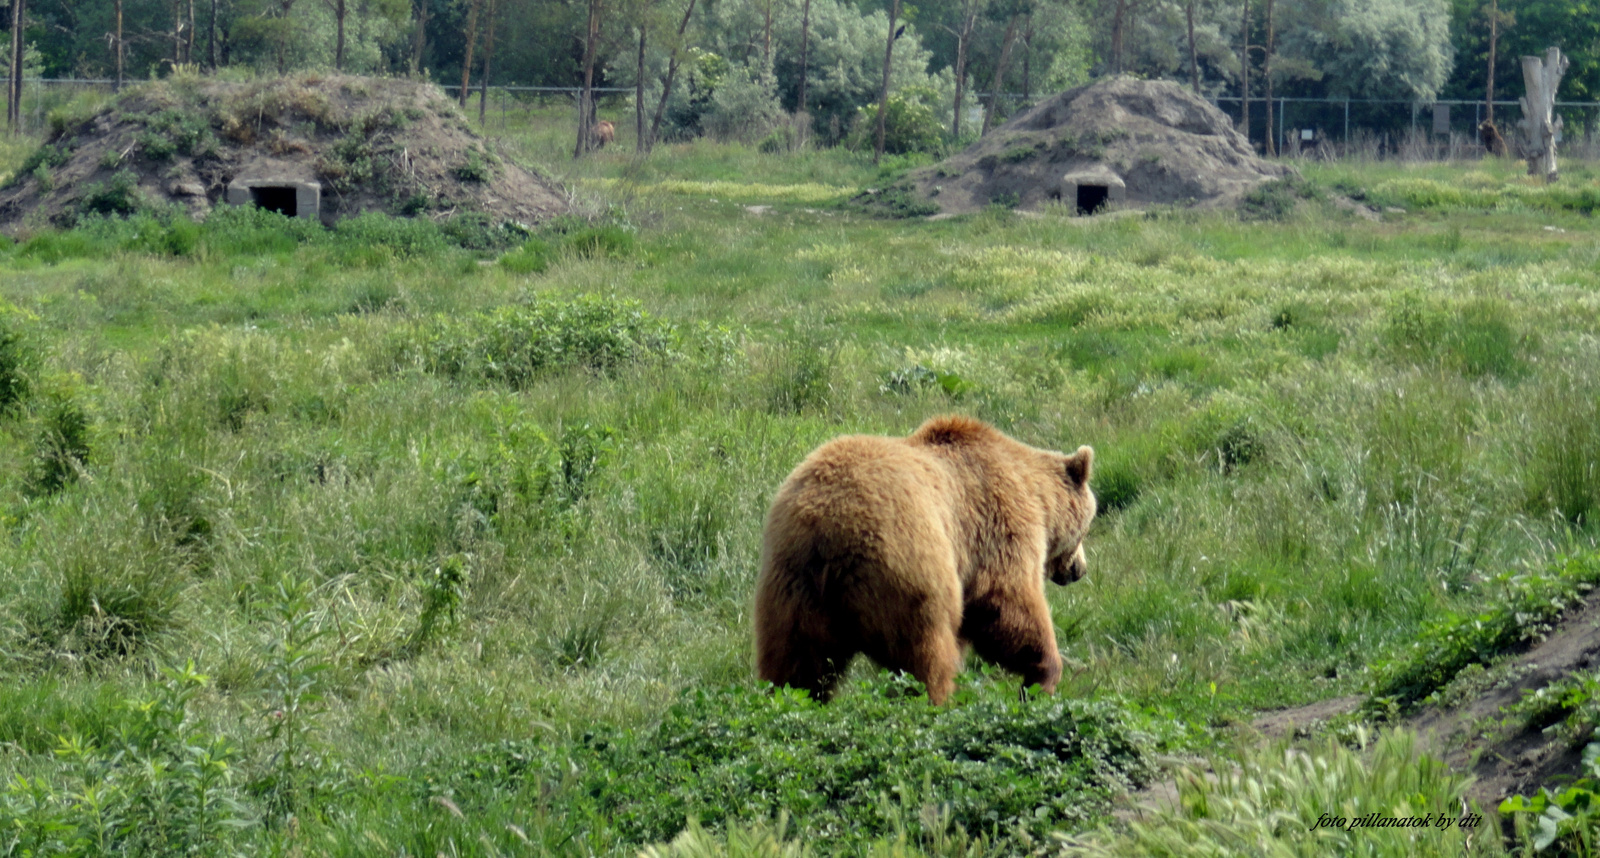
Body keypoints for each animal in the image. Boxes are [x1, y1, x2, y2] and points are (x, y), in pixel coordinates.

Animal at [755, 416, 1094, 704]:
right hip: (909, 572)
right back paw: (936, 701)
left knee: (797, 661)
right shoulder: (998, 529)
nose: (1080, 569)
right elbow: (1008, 603)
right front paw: (1041, 676)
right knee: (927, 654)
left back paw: (794, 699)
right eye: (1087, 526)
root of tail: (829, 530)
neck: (1038, 499)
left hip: (794, 586)